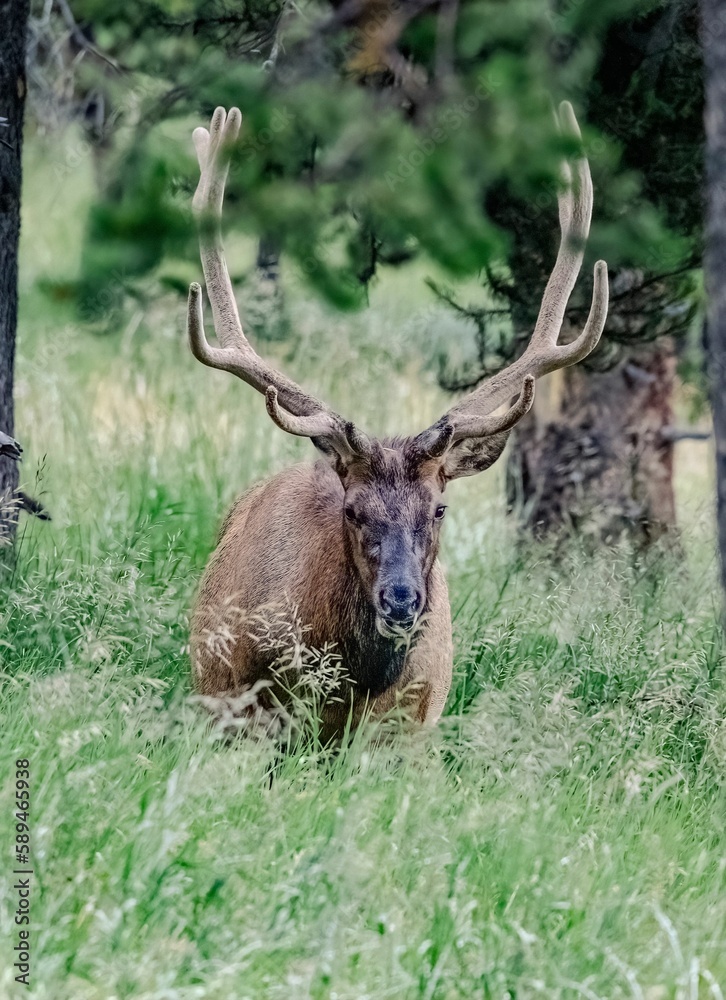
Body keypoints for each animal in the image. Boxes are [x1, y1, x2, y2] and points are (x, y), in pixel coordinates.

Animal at [187, 102, 608, 737]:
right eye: (352, 510)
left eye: (439, 508)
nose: (403, 601)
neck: (345, 690)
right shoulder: (245, 707)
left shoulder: (411, 726)